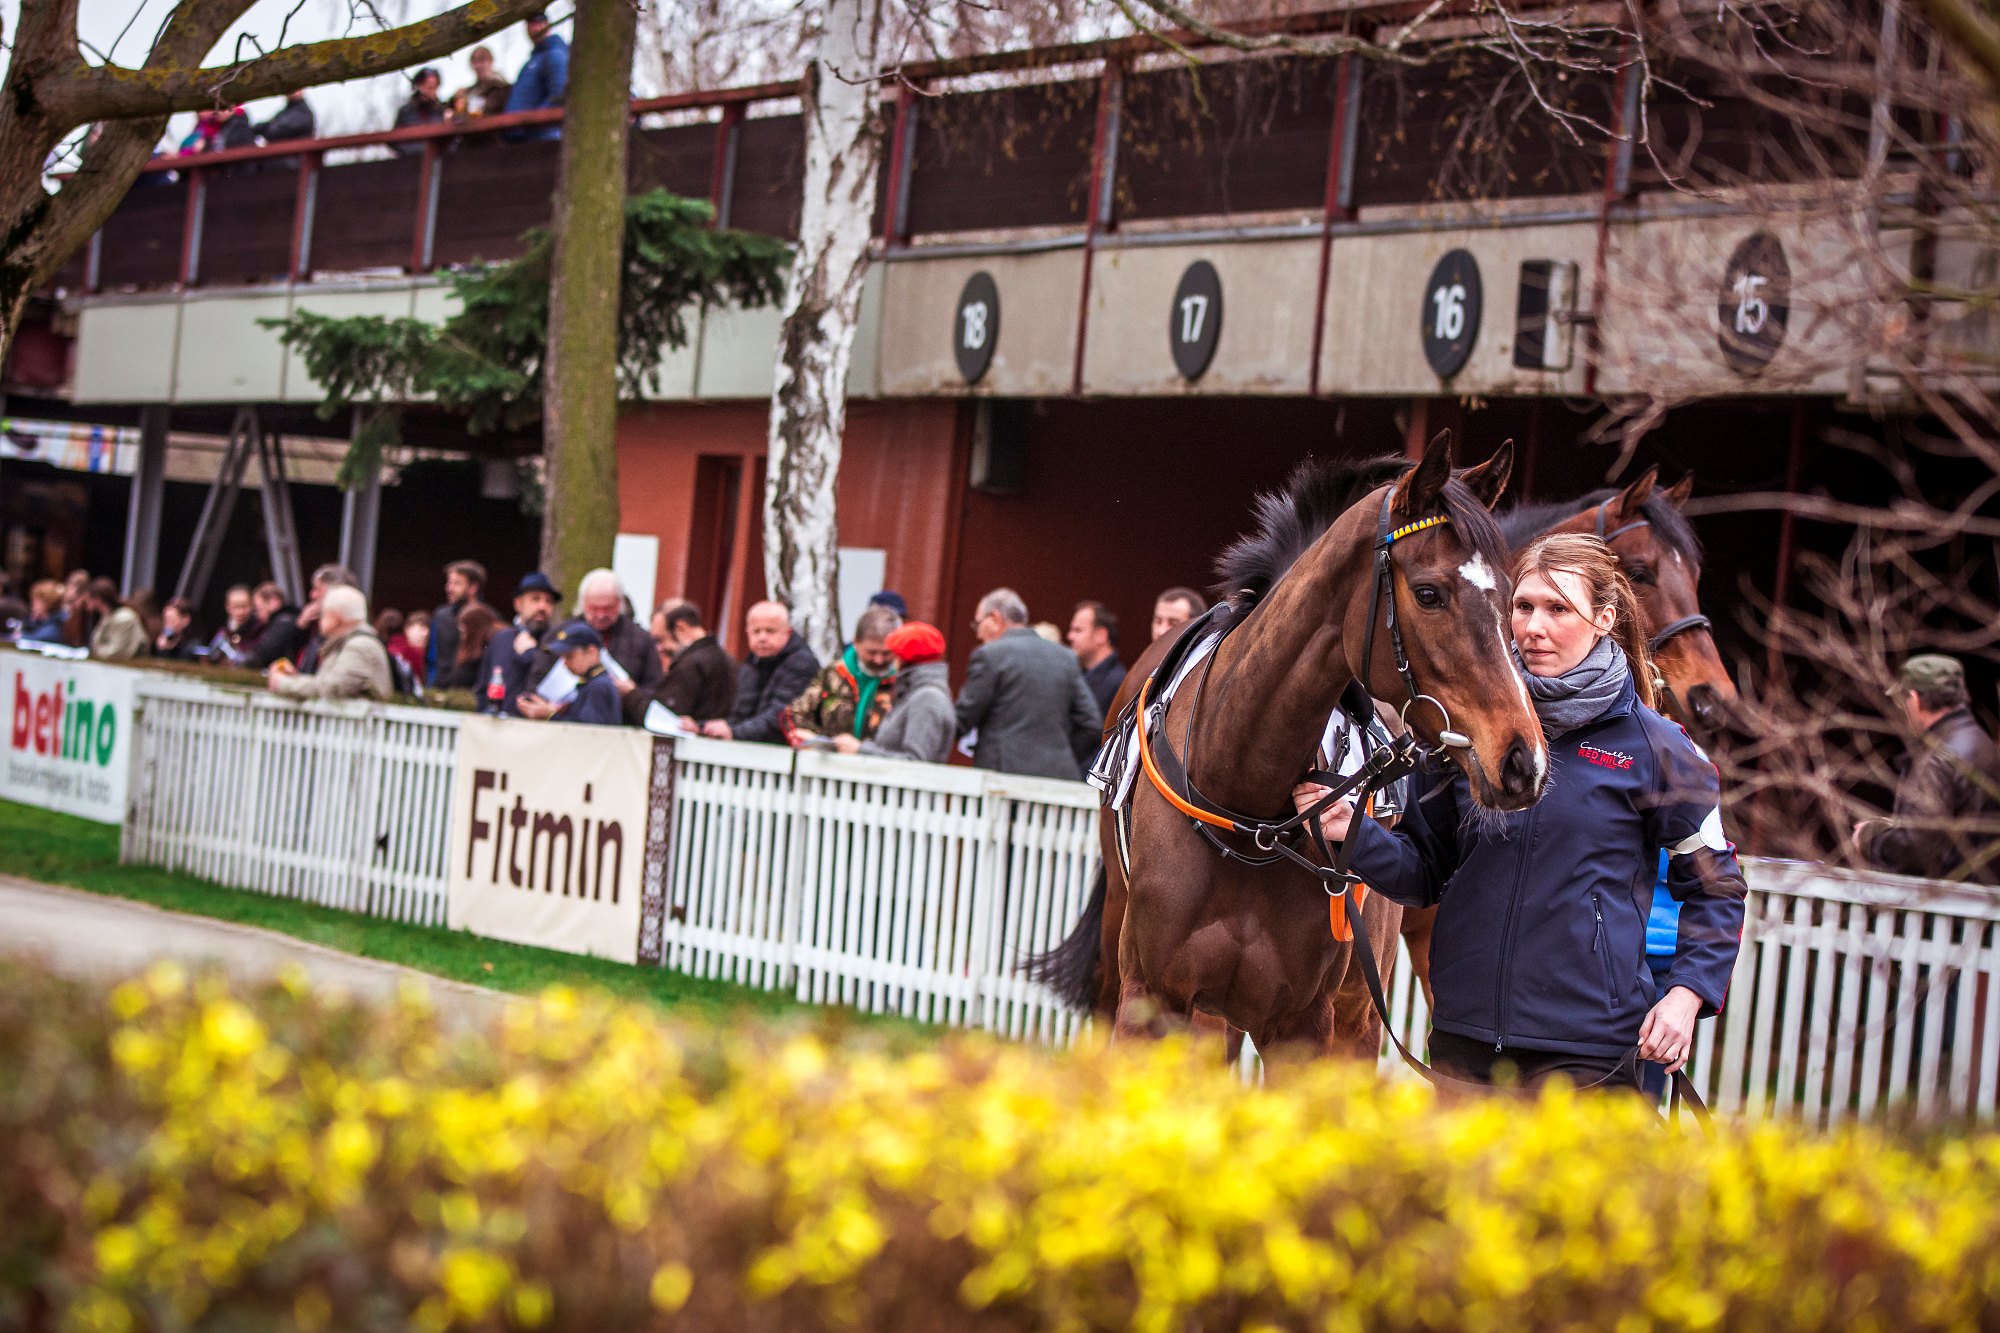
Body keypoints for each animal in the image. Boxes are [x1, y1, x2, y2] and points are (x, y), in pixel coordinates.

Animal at [1030, 432, 1549, 1061]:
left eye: (1516, 601)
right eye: (1429, 594)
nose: (1522, 759)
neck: (1243, 805)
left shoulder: (1302, 1024)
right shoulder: (1153, 1000)